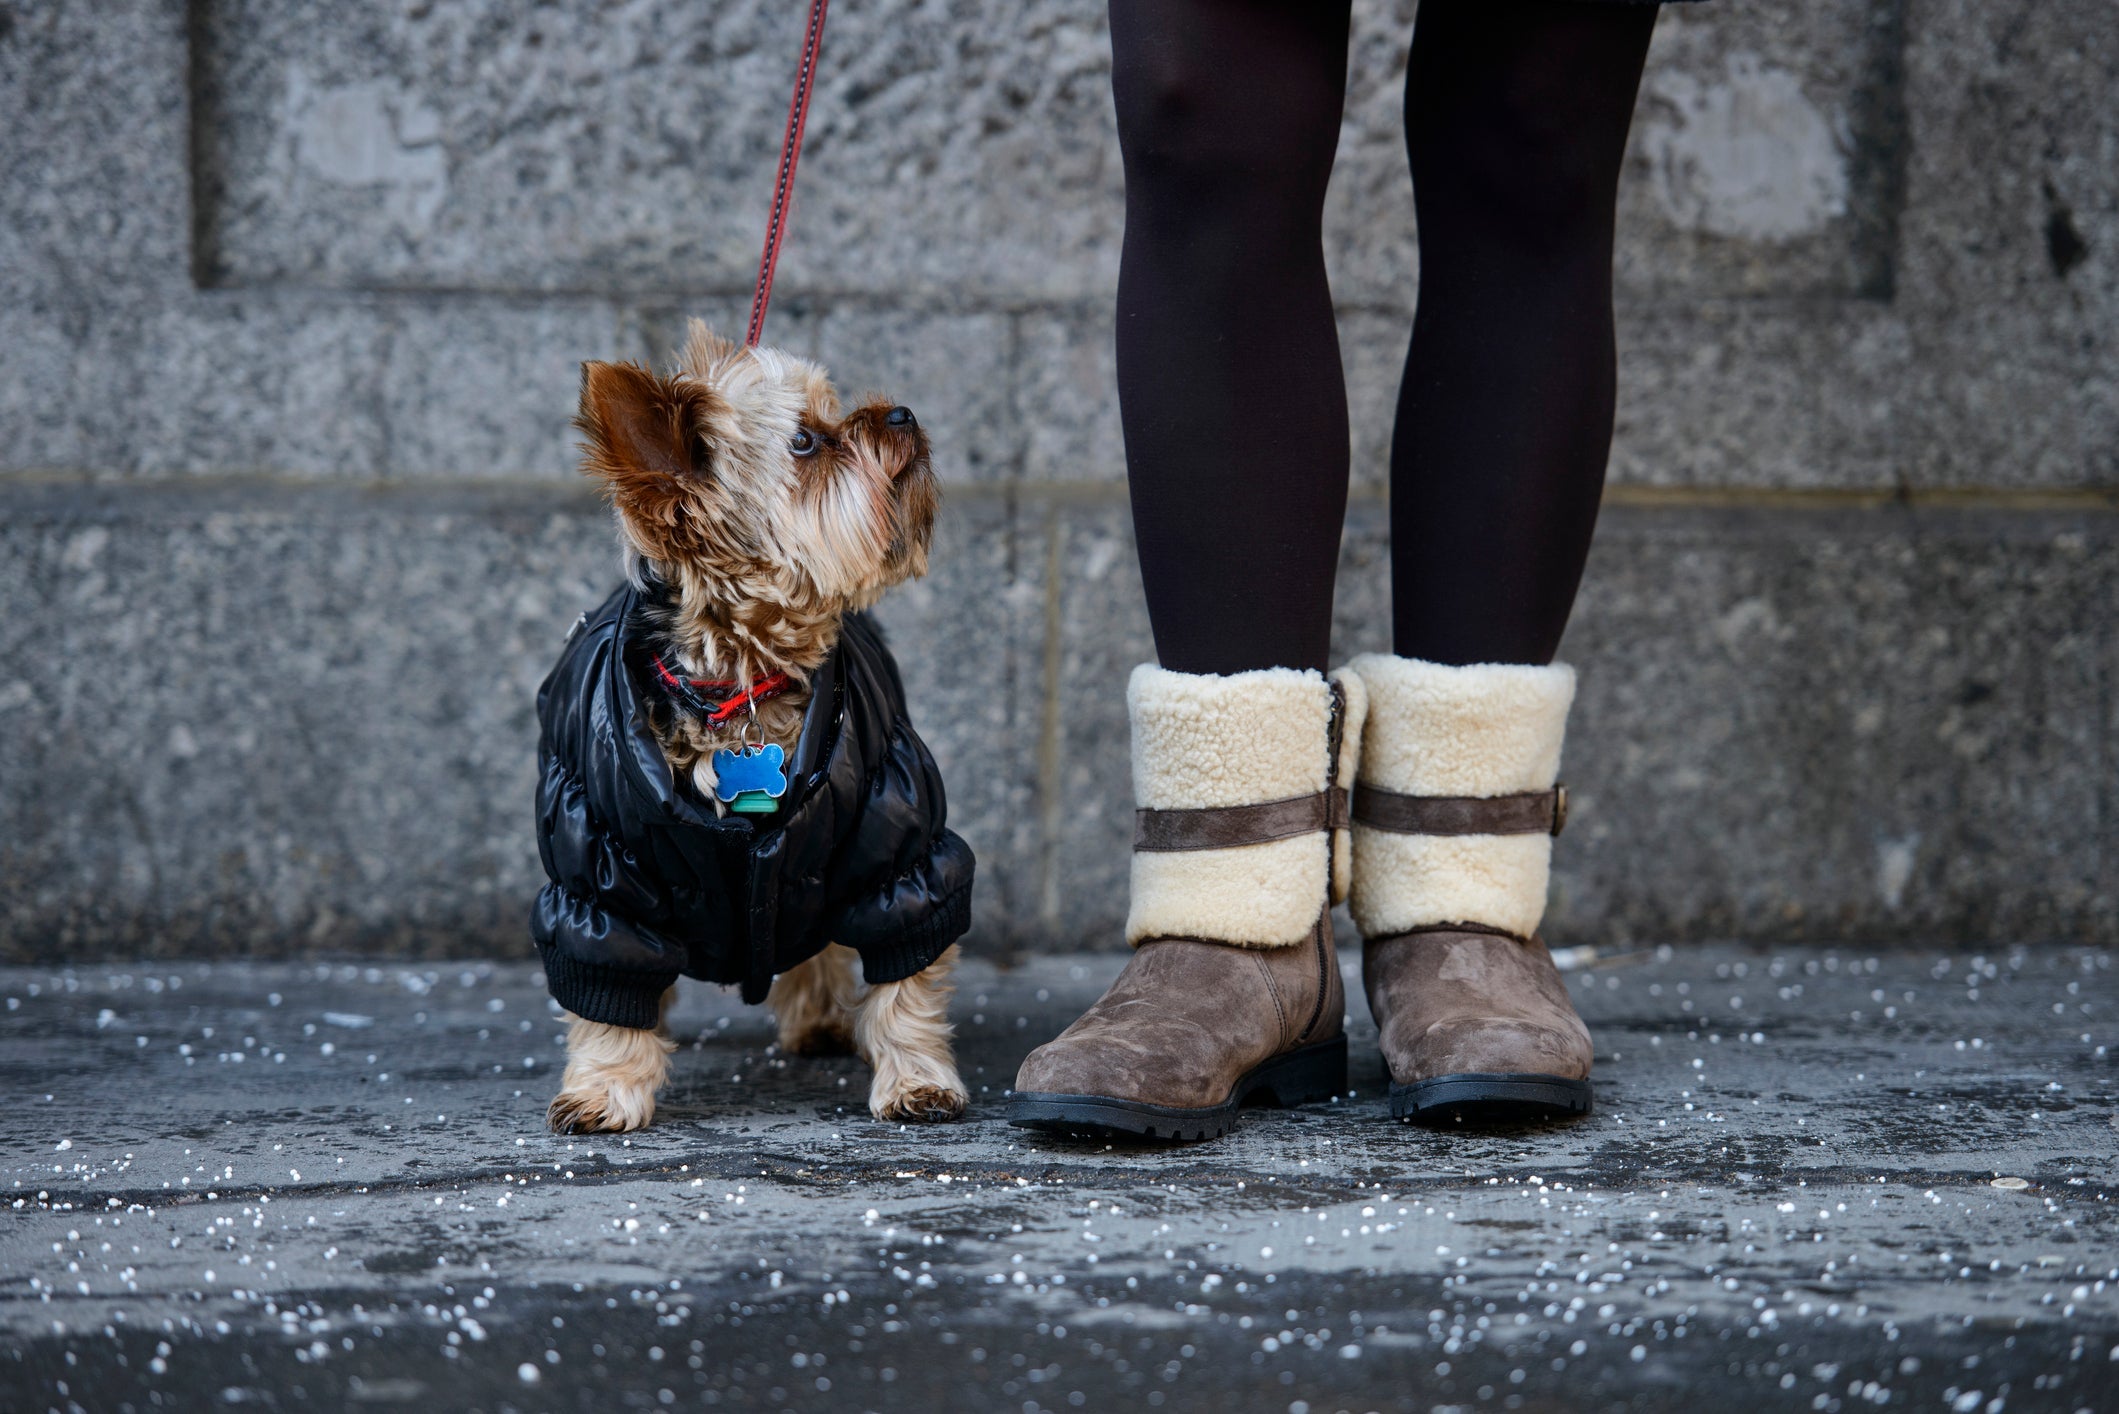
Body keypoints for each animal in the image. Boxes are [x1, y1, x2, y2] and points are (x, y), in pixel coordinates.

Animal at [538, 324, 970, 1136]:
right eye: (804, 441)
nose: (900, 412)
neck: (739, 683)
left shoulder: (898, 850)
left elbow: (906, 979)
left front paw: (917, 1079)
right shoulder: (598, 880)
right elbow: (607, 985)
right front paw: (605, 1088)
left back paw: (820, 1019)